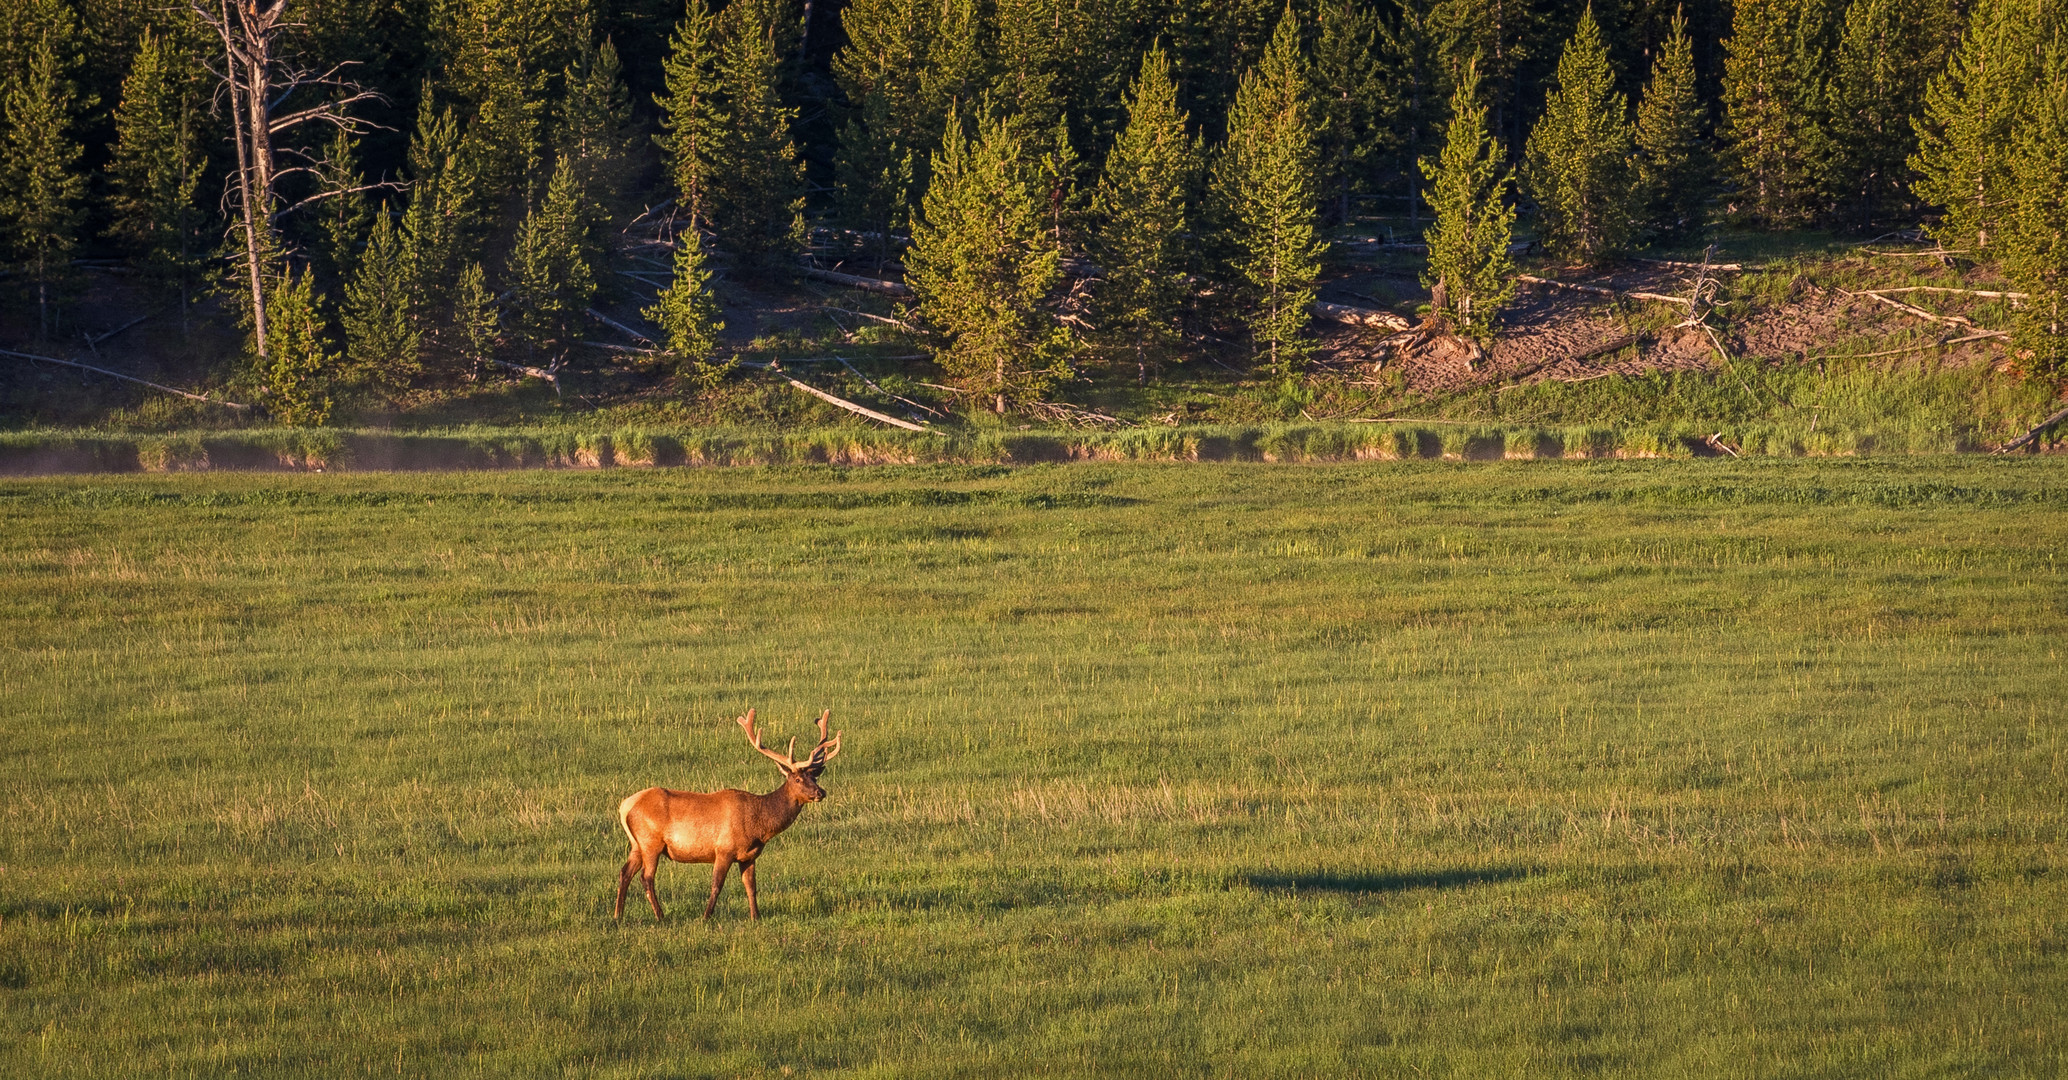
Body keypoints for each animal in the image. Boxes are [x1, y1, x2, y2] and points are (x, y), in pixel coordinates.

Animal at [612, 707, 839, 914]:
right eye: (798, 779)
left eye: (814, 776)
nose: (820, 792)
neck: (759, 825)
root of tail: (625, 806)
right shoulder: (723, 849)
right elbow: (716, 886)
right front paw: (706, 917)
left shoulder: (749, 856)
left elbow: (751, 887)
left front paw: (755, 917)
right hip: (651, 842)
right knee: (646, 878)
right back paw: (660, 916)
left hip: (637, 844)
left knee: (625, 872)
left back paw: (618, 916)